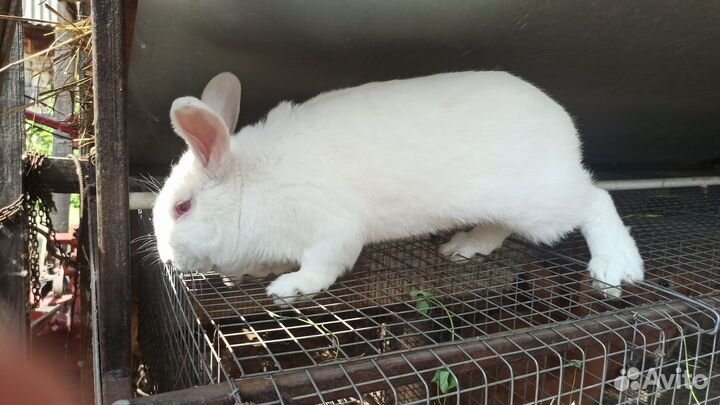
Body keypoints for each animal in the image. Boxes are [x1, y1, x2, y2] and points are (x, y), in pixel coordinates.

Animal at [153, 71, 644, 304]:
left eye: (183, 208)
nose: (167, 259)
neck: (251, 184)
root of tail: (564, 127)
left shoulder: (331, 228)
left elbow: (322, 266)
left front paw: (289, 287)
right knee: (500, 227)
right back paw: (466, 247)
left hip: (544, 203)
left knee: (596, 201)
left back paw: (616, 267)